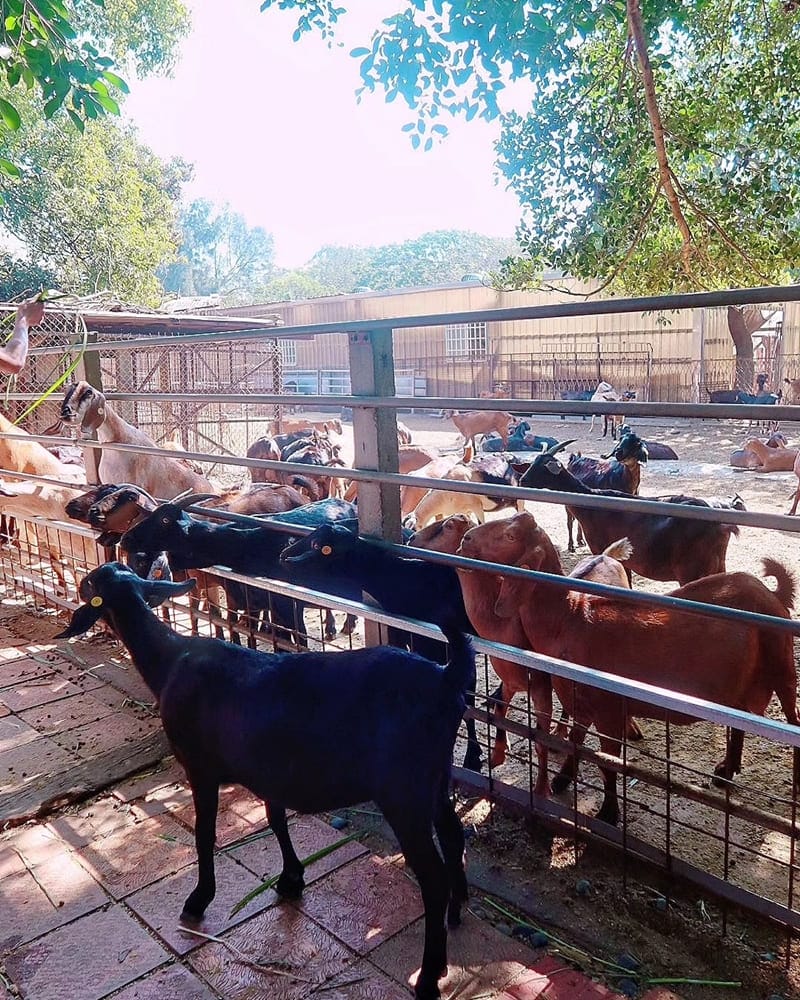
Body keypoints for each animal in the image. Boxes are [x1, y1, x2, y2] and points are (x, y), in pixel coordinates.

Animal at [57, 564, 476, 1000]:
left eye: (89, 584)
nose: (82, 584)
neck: (170, 661)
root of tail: (446, 678)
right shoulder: (269, 770)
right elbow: (276, 820)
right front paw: (292, 878)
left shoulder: (200, 767)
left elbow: (204, 834)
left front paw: (200, 898)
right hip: (436, 775)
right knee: (453, 836)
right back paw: (456, 913)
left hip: (403, 790)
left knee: (432, 876)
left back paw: (429, 975)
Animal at [462, 512, 800, 824]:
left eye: (510, 536)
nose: (466, 538)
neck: (569, 617)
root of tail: (772, 593)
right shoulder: (580, 701)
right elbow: (576, 742)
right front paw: (561, 780)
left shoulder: (608, 707)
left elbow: (608, 761)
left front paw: (608, 814)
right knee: (739, 719)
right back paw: (726, 770)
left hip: (782, 665)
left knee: (792, 720)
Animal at [520, 440, 740, 584]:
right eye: (534, 462)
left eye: (542, 467)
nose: (522, 480)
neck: (592, 503)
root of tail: (722, 525)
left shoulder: (602, 550)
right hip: (717, 566)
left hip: (692, 571)